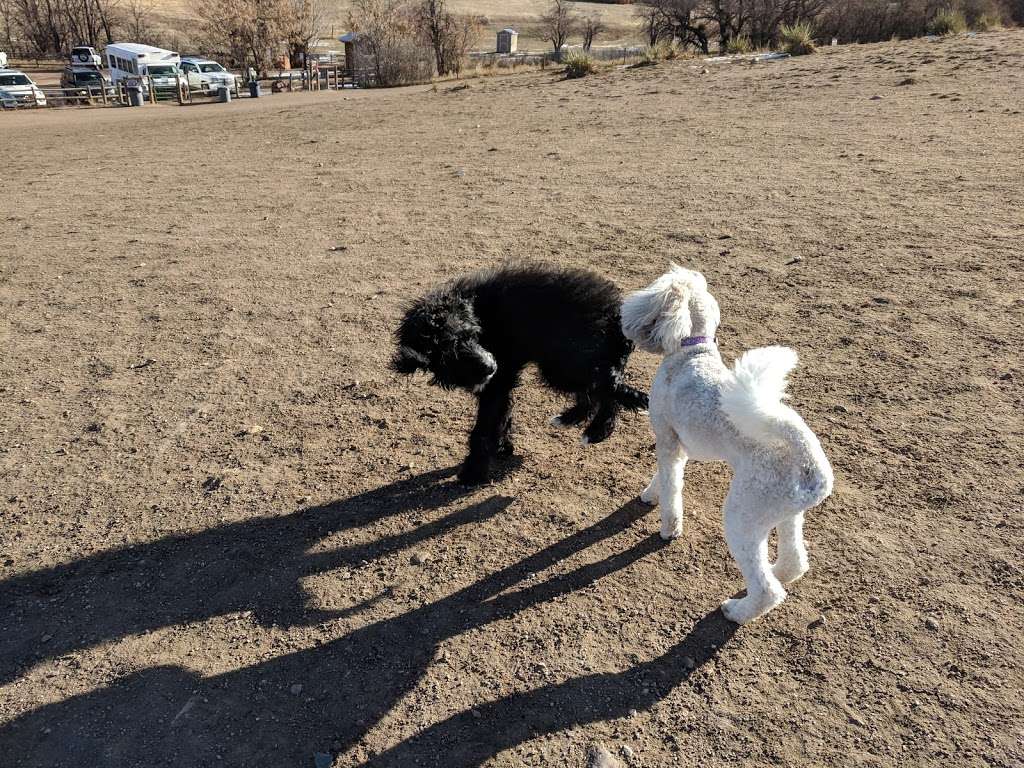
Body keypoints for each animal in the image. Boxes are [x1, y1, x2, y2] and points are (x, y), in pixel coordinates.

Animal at [393, 262, 647, 483]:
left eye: (470, 334)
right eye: (448, 353)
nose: (490, 365)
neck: (479, 312)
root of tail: (616, 314)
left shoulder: (495, 385)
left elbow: (483, 430)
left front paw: (473, 473)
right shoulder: (498, 384)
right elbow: (502, 416)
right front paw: (502, 447)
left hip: (563, 366)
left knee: (608, 390)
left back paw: (596, 431)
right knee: (596, 392)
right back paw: (569, 419)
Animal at [622, 266, 831, 626]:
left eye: (654, 291)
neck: (692, 352)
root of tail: (807, 455)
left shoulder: (667, 438)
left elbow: (672, 487)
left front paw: (668, 528)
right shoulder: (679, 445)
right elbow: (664, 476)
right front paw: (650, 494)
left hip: (743, 514)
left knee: (767, 590)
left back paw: (737, 611)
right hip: (785, 512)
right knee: (794, 562)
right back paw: (779, 571)